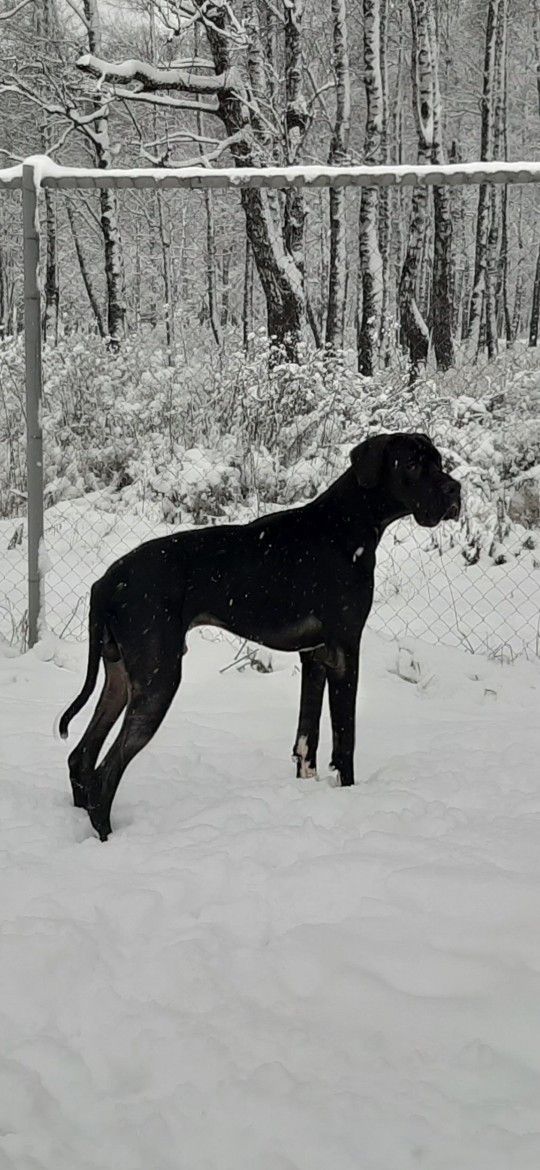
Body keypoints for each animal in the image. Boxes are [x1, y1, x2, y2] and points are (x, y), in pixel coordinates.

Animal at [60, 432, 461, 840]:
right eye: (411, 463)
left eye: (439, 461)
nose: (454, 489)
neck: (347, 524)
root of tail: (106, 582)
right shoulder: (345, 650)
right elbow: (344, 738)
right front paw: (348, 795)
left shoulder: (315, 655)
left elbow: (307, 736)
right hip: (158, 680)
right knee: (105, 773)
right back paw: (108, 837)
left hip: (121, 677)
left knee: (81, 757)